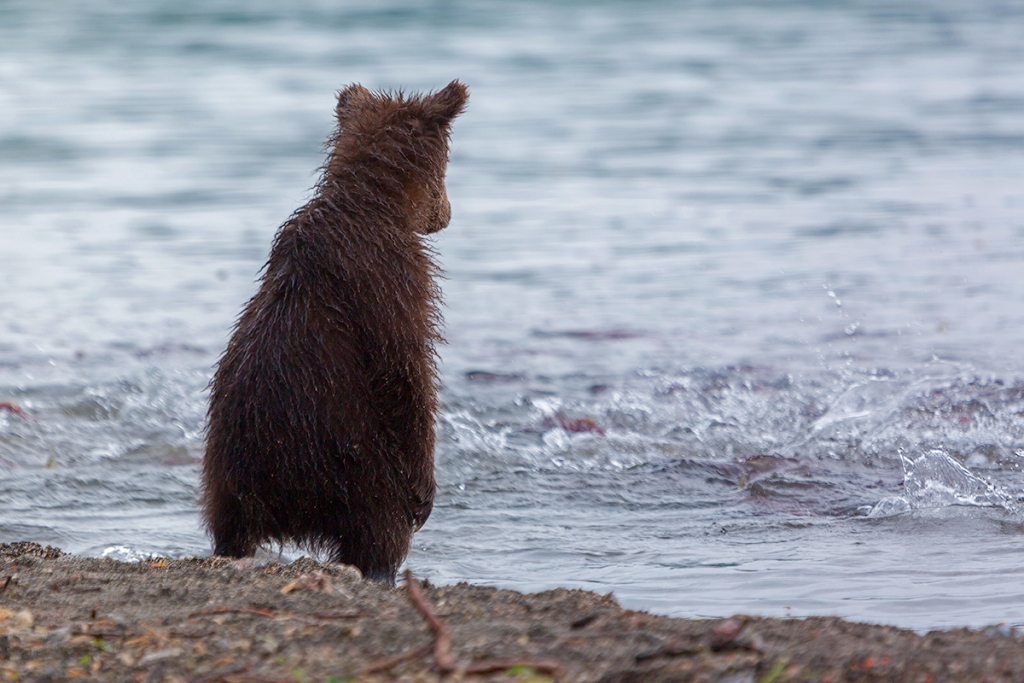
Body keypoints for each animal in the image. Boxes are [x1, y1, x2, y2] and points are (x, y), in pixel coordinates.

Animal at [200, 80, 471, 581]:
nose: (447, 214)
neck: (375, 204)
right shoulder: (392, 281)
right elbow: (405, 370)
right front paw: (426, 491)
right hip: (350, 465)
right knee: (380, 527)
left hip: (227, 472)